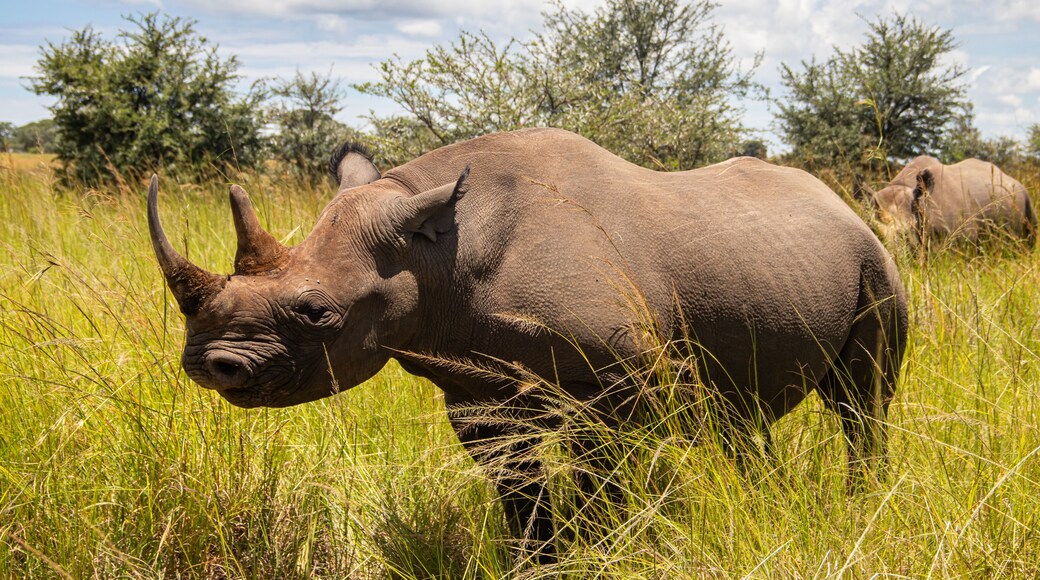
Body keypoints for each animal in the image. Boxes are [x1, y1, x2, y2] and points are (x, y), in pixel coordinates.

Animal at [148, 128, 907, 559]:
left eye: (317, 313)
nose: (212, 365)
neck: (437, 254)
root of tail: (840, 202)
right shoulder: (474, 392)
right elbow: (520, 490)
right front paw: (540, 562)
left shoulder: (610, 387)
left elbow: (600, 486)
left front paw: (610, 555)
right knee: (739, 417)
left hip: (876, 263)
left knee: (860, 401)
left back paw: (860, 506)